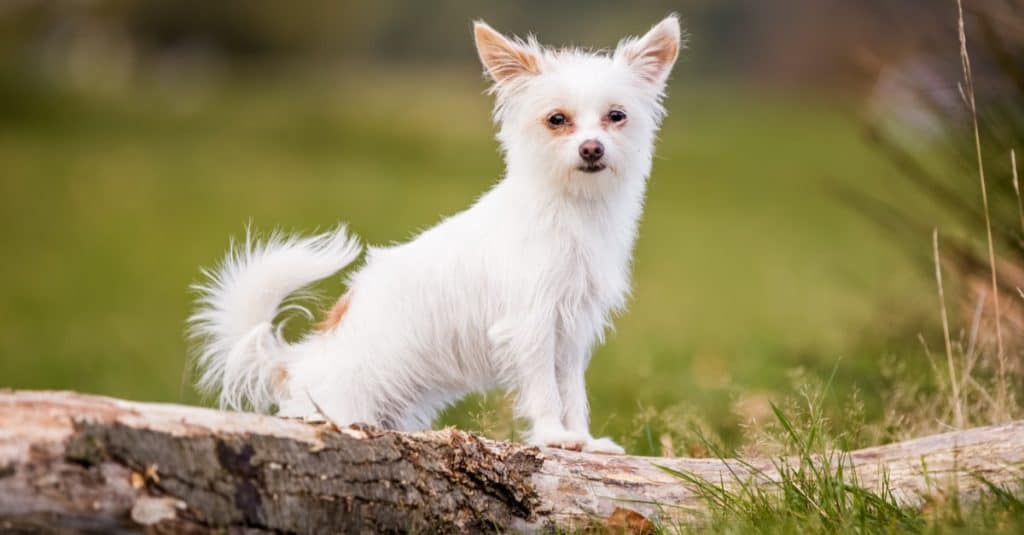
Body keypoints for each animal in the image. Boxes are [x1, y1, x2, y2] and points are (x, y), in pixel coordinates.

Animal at [191, 16, 679, 450]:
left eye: (616, 116)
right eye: (557, 120)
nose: (592, 149)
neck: (572, 209)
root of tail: (294, 365)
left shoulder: (572, 332)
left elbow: (572, 392)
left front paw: (585, 441)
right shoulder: (531, 325)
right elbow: (544, 391)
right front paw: (555, 438)